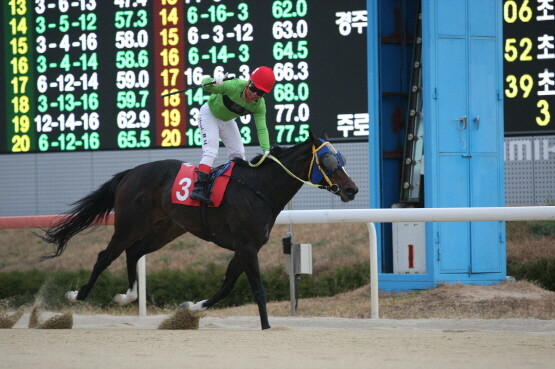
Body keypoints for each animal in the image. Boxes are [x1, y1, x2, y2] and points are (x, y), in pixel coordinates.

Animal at [40, 129, 360, 328]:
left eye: (342, 159)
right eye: (328, 160)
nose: (352, 189)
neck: (260, 188)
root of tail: (131, 172)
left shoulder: (246, 247)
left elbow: (227, 285)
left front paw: (192, 307)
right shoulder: (247, 247)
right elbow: (257, 290)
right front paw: (267, 326)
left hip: (166, 229)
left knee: (133, 253)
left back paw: (126, 296)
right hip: (130, 224)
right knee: (105, 256)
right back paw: (77, 296)